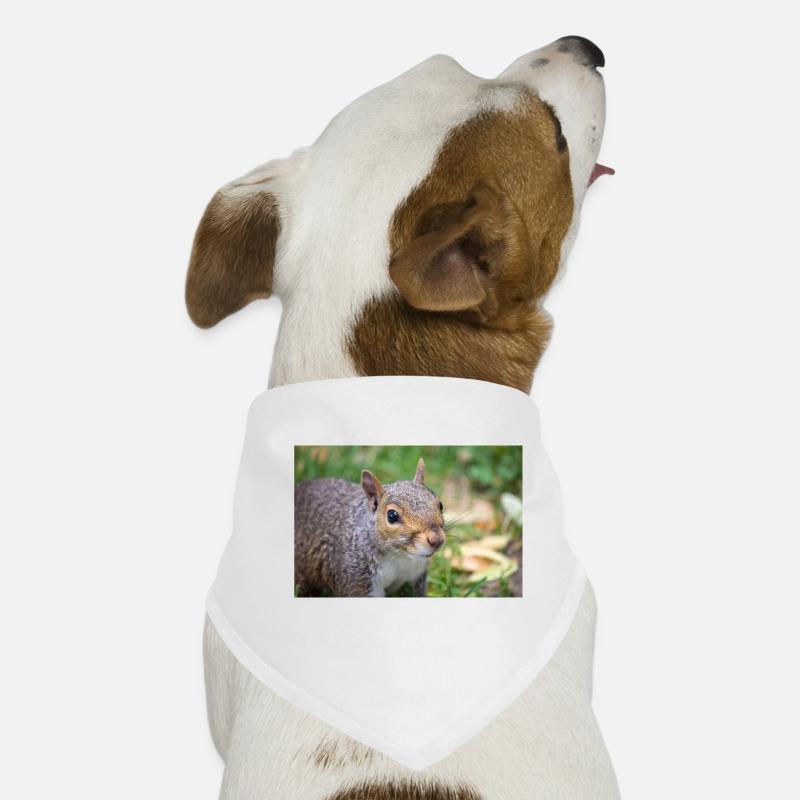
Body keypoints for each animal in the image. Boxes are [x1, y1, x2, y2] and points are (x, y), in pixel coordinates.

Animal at [294, 458, 445, 597]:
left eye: (440, 505)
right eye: (392, 515)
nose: (437, 540)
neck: (399, 556)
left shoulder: (415, 574)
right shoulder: (356, 577)